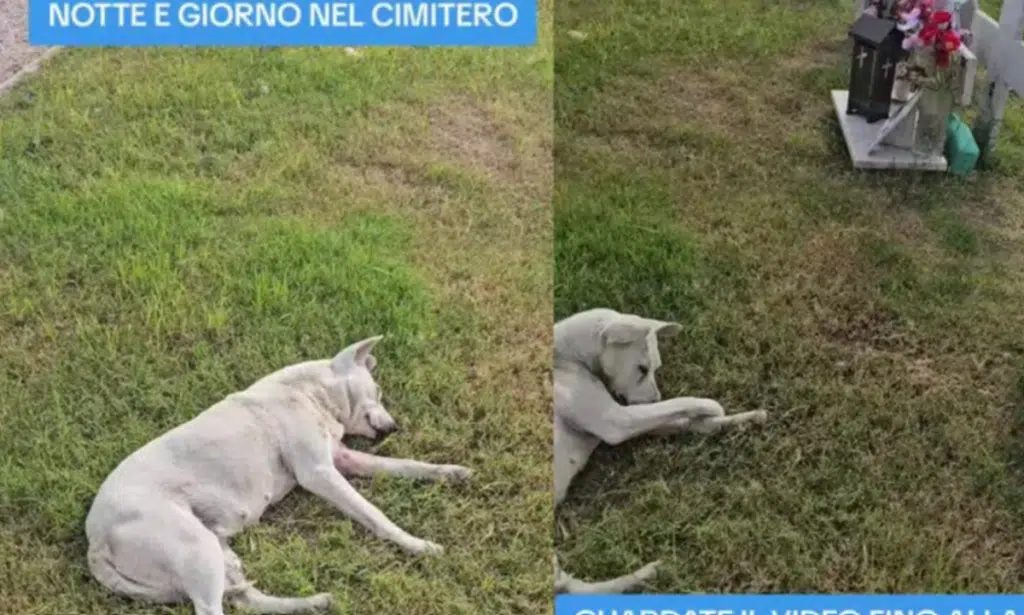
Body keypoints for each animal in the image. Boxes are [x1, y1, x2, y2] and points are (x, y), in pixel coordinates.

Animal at [88, 335, 471, 613]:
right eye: (377, 391)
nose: (394, 428)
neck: (311, 392)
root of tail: (95, 540)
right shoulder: (319, 473)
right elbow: (375, 514)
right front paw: (417, 545)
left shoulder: (344, 459)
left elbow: (407, 465)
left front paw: (450, 472)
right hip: (197, 549)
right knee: (214, 607)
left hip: (217, 551)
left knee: (244, 599)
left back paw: (313, 602)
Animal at [557, 309, 765, 593]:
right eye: (642, 369)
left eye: (655, 369)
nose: (654, 398)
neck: (567, 357)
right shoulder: (618, 421)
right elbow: (685, 404)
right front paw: (712, 407)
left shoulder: (640, 421)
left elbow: (690, 421)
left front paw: (742, 419)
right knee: (574, 587)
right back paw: (649, 573)